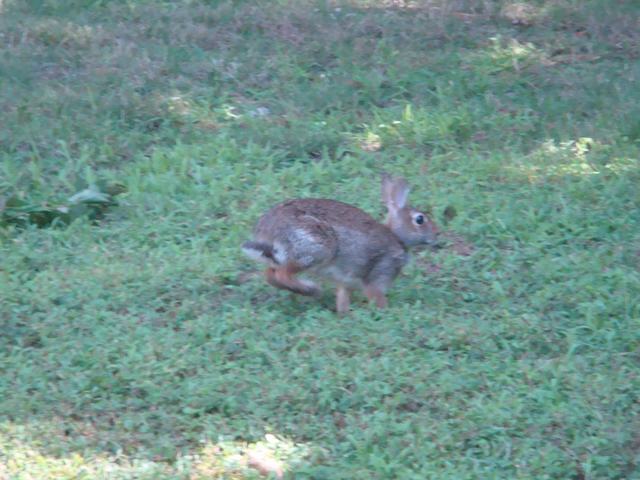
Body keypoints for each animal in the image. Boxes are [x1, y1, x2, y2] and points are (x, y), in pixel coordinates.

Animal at [241, 173, 440, 316]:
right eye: (420, 219)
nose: (437, 234)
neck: (397, 237)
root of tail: (268, 229)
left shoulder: (346, 283)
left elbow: (343, 300)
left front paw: (345, 314)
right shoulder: (379, 275)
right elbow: (377, 297)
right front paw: (384, 311)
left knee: (270, 274)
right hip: (316, 248)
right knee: (282, 274)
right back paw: (312, 289)